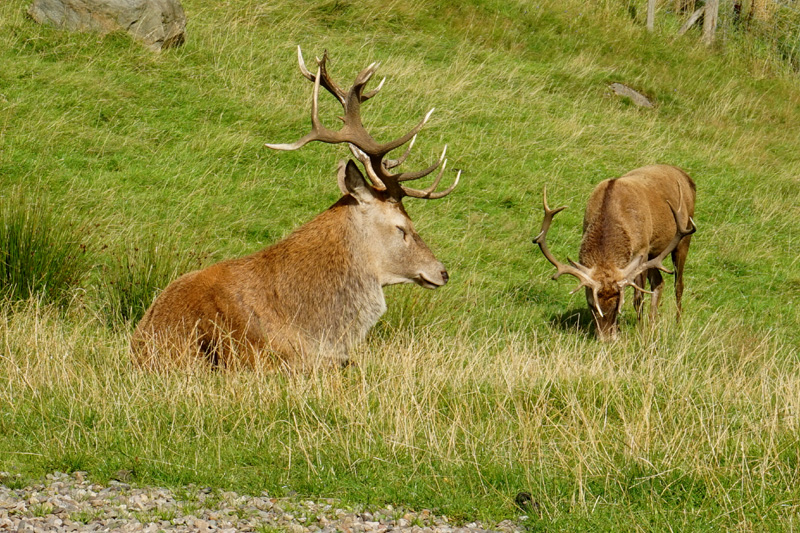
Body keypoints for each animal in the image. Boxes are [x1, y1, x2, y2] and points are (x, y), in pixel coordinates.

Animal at [533, 165, 696, 341]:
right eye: (591, 303)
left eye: (619, 304)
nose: (606, 339)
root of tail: (686, 177)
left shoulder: (642, 250)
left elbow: (638, 298)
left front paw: (640, 331)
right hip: (655, 253)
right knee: (659, 282)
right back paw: (653, 324)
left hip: (684, 235)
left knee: (678, 285)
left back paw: (677, 325)